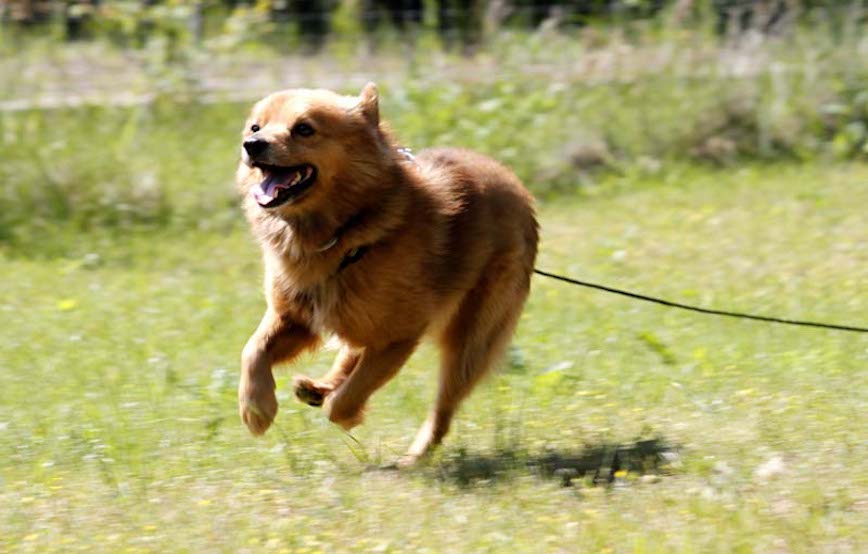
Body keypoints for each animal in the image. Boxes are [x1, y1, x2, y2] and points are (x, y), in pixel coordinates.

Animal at [234, 82, 540, 462]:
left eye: (304, 128)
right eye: (255, 127)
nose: (252, 145)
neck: (345, 233)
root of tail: (515, 184)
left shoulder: (398, 336)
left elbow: (354, 391)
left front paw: (347, 414)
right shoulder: (294, 317)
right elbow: (253, 350)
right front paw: (256, 408)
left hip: (471, 341)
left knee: (442, 408)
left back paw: (415, 455)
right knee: (351, 353)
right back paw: (317, 387)